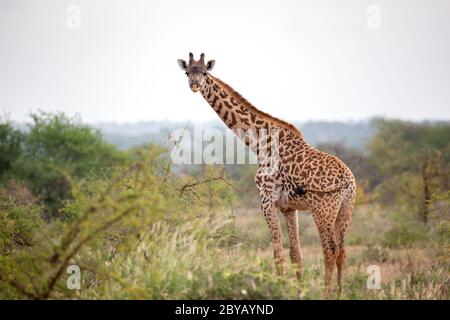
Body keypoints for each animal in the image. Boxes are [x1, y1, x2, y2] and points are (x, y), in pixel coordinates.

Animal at [178, 52, 356, 296]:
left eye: (205, 72)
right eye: (187, 72)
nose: (194, 84)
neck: (259, 143)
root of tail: (348, 182)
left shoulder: (266, 199)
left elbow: (277, 254)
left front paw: (278, 289)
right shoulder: (289, 207)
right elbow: (295, 255)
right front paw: (297, 292)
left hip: (323, 209)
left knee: (330, 249)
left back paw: (327, 294)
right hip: (345, 209)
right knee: (342, 251)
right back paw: (339, 293)